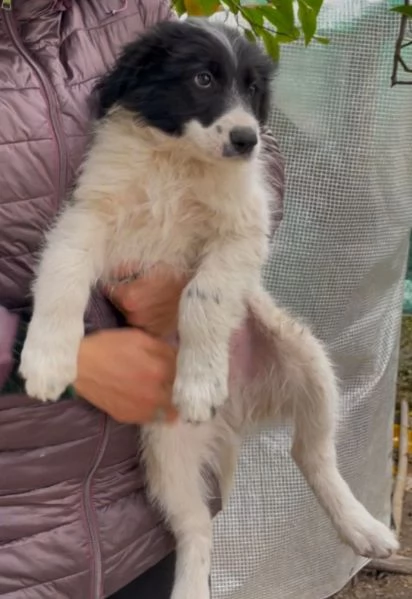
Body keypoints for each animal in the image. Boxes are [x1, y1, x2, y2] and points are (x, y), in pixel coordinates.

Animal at [20, 17, 400, 599]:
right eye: (202, 78)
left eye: (252, 88)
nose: (247, 139)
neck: (177, 161)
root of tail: (239, 413)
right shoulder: (89, 217)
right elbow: (62, 274)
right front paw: (47, 360)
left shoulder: (242, 232)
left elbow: (202, 297)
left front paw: (200, 380)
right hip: (167, 453)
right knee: (197, 527)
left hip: (309, 361)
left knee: (312, 454)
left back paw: (362, 527)